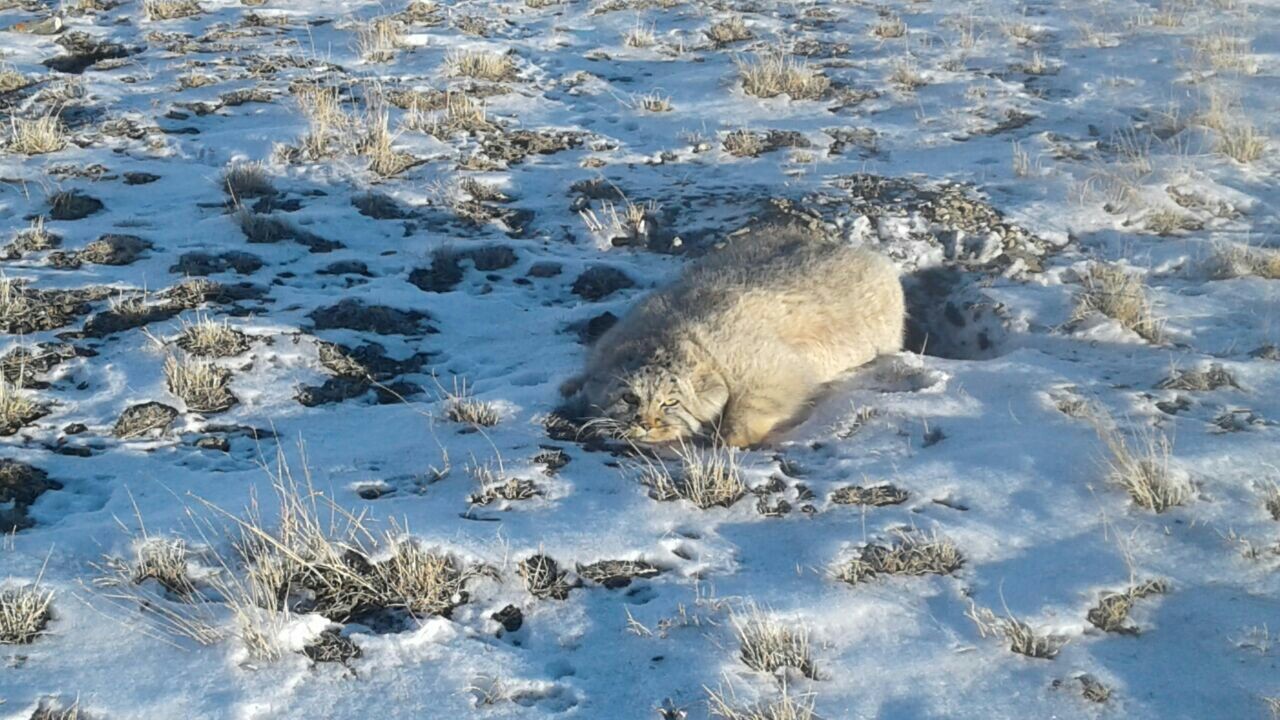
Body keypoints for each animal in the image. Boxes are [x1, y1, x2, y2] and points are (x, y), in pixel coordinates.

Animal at [563, 224, 911, 445]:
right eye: (629, 397)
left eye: (671, 403)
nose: (645, 424)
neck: (667, 336)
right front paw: (570, 387)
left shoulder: (762, 364)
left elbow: (769, 394)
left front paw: (733, 435)